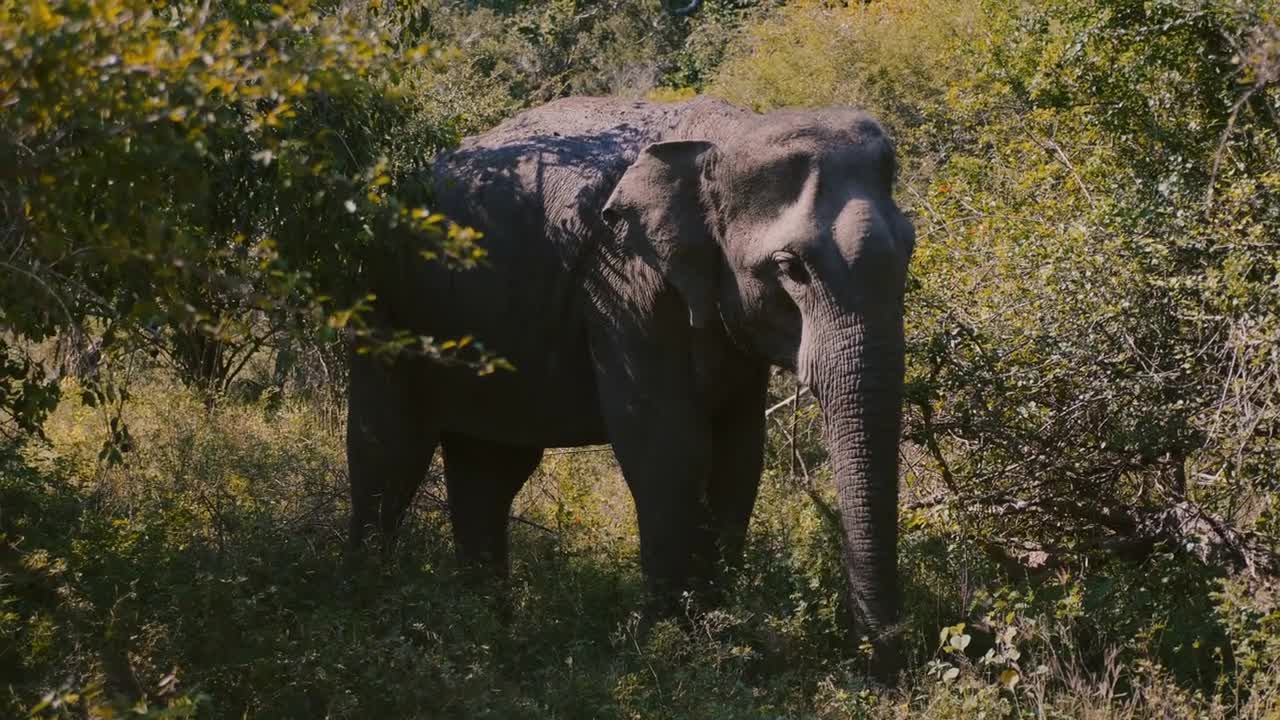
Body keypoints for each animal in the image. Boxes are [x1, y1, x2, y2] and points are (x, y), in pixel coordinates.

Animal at [345, 94, 916, 666]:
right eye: (790, 267)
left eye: (910, 248)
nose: (878, 657)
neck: (724, 138)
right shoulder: (624, 282)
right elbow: (666, 447)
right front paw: (672, 646)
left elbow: (739, 454)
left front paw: (723, 634)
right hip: (386, 302)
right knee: (388, 449)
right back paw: (374, 610)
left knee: (490, 467)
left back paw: (488, 627)